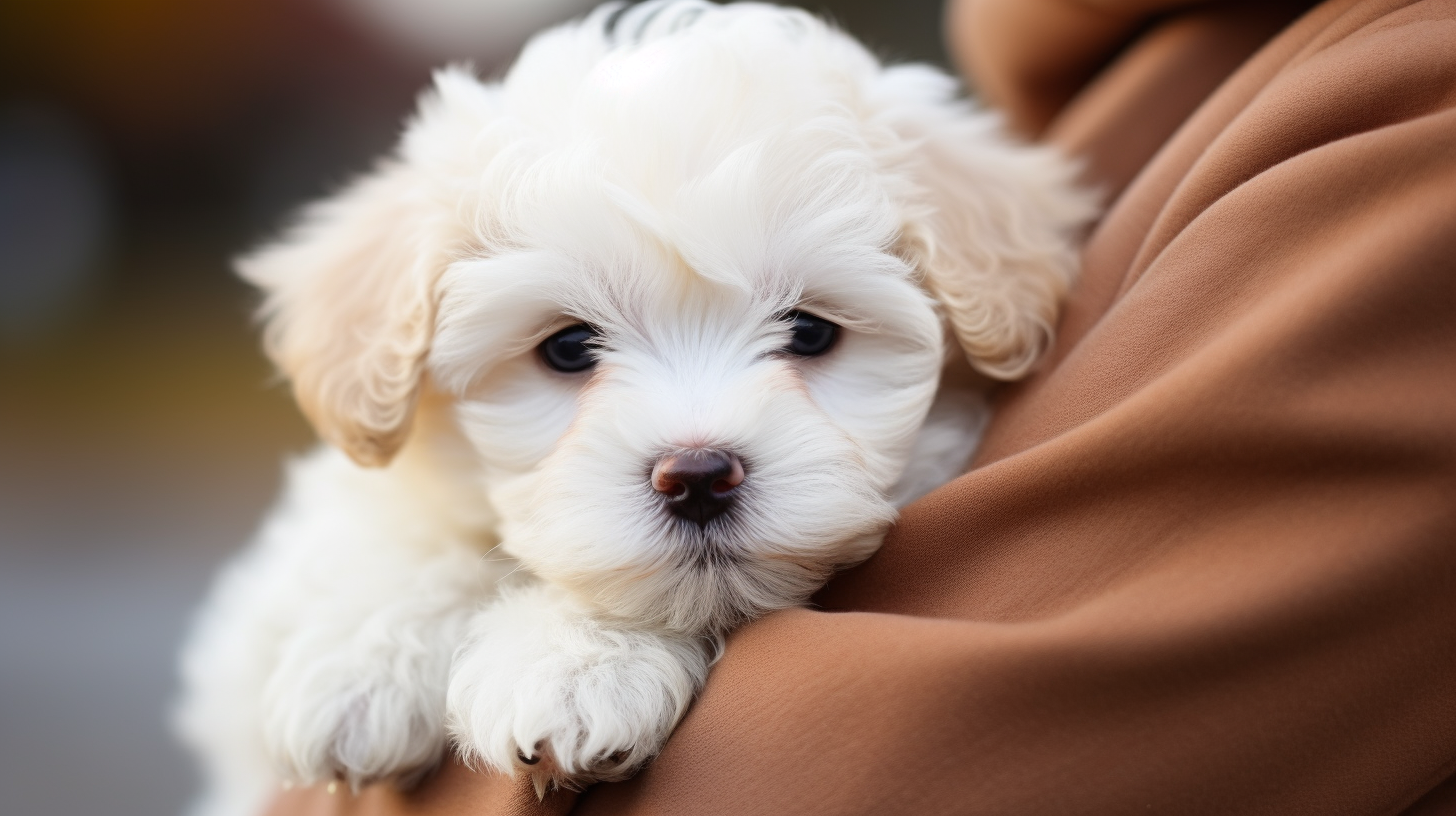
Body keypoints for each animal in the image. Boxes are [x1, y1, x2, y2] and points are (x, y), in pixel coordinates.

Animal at [173, 3, 1094, 810]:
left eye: (809, 331)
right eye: (568, 348)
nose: (697, 476)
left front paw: (577, 669)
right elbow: (402, 524)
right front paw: (364, 667)